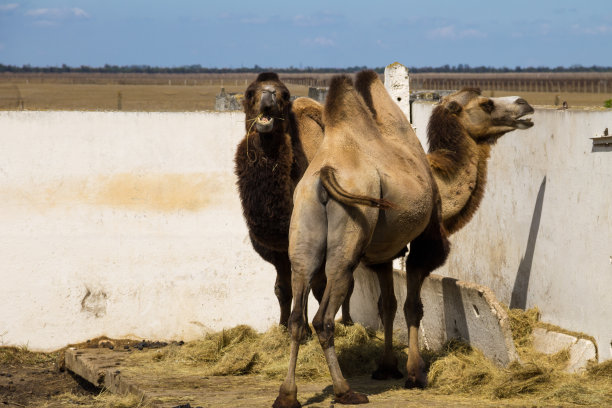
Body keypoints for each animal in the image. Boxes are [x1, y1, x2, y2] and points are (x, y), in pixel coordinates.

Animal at [234, 71, 356, 330]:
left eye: (284, 93)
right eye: (250, 92)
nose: (268, 96)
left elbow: (316, 288)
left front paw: (308, 329)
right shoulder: (278, 251)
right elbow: (283, 289)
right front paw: (283, 327)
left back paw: (349, 322)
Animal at [272, 71, 450, 408]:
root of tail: (324, 175)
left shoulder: (382, 253)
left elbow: (387, 304)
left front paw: (387, 368)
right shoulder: (424, 236)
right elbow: (413, 305)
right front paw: (414, 374)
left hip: (303, 233)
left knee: (298, 316)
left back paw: (287, 395)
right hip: (349, 239)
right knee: (323, 318)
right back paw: (345, 391)